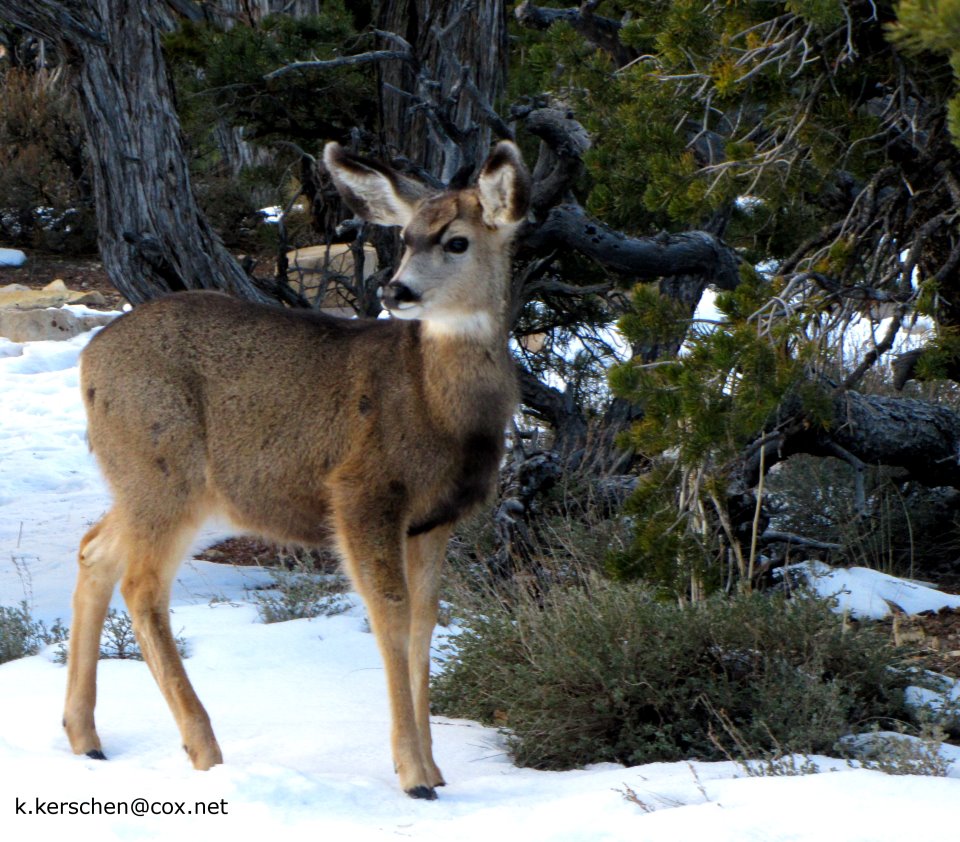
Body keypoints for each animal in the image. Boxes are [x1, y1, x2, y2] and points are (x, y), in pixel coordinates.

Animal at [65, 138, 532, 796]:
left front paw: (437, 770)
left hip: (145, 481)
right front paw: (413, 775)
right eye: (407, 237)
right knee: (142, 585)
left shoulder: (434, 520)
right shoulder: (363, 492)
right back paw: (205, 749)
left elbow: (425, 622)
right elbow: (390, 615)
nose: (397, 292)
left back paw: (86, 737)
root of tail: (88, 361)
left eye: (457, 241)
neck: (439, 407)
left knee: (94, 549)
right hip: (164, 469)